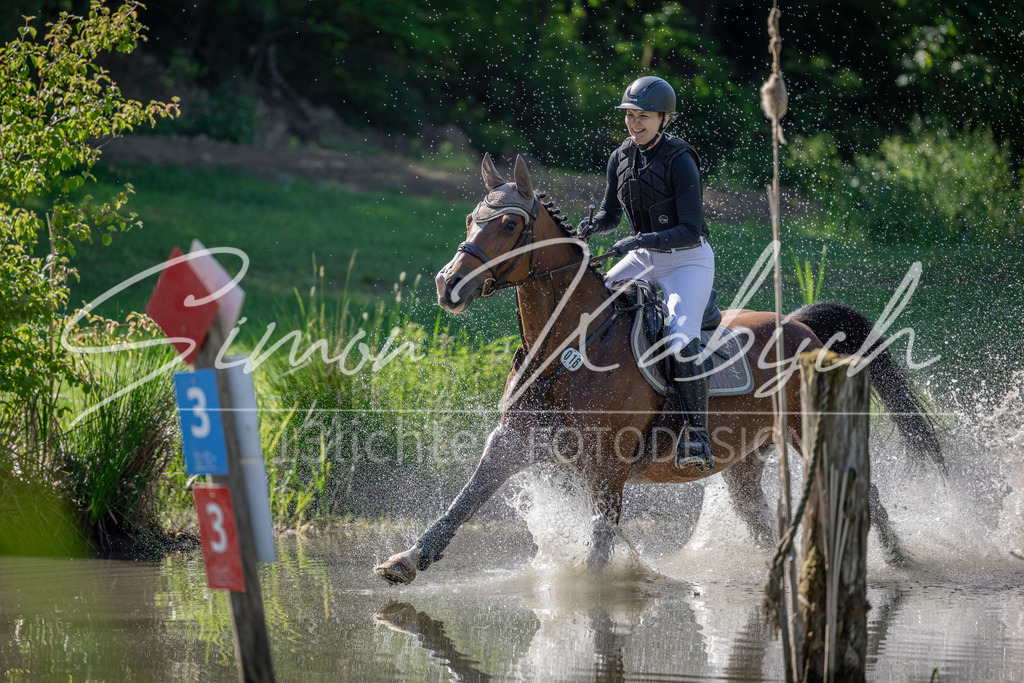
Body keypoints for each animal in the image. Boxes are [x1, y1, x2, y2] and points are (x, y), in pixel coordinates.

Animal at [373, 154, 942, 584]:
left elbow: (599, 542)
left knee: (865, 493)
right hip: (744, 458)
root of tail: (800, 325)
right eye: (472, 218)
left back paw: (902, 562)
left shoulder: (607, 467)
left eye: (510, 224)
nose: (448, 285)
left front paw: (590, 594)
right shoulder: (513, 439)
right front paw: (406, 561)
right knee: (759, 518)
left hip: (810, 429)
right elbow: (465, 499)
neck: (569, 345)